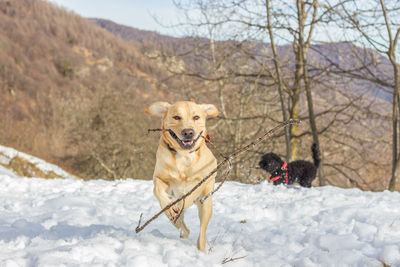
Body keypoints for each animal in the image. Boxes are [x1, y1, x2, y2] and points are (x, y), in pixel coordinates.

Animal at [145, 100, 217, 251]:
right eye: (177, 117)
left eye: (196, 117)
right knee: (181, 225)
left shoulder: (202, 180)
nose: (188, 132)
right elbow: (157, 190)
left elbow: (190, 194)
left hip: (206, 205)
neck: (184, 156)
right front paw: (170, 205)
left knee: (201, 233)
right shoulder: (160, 178)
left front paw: (182, 202)